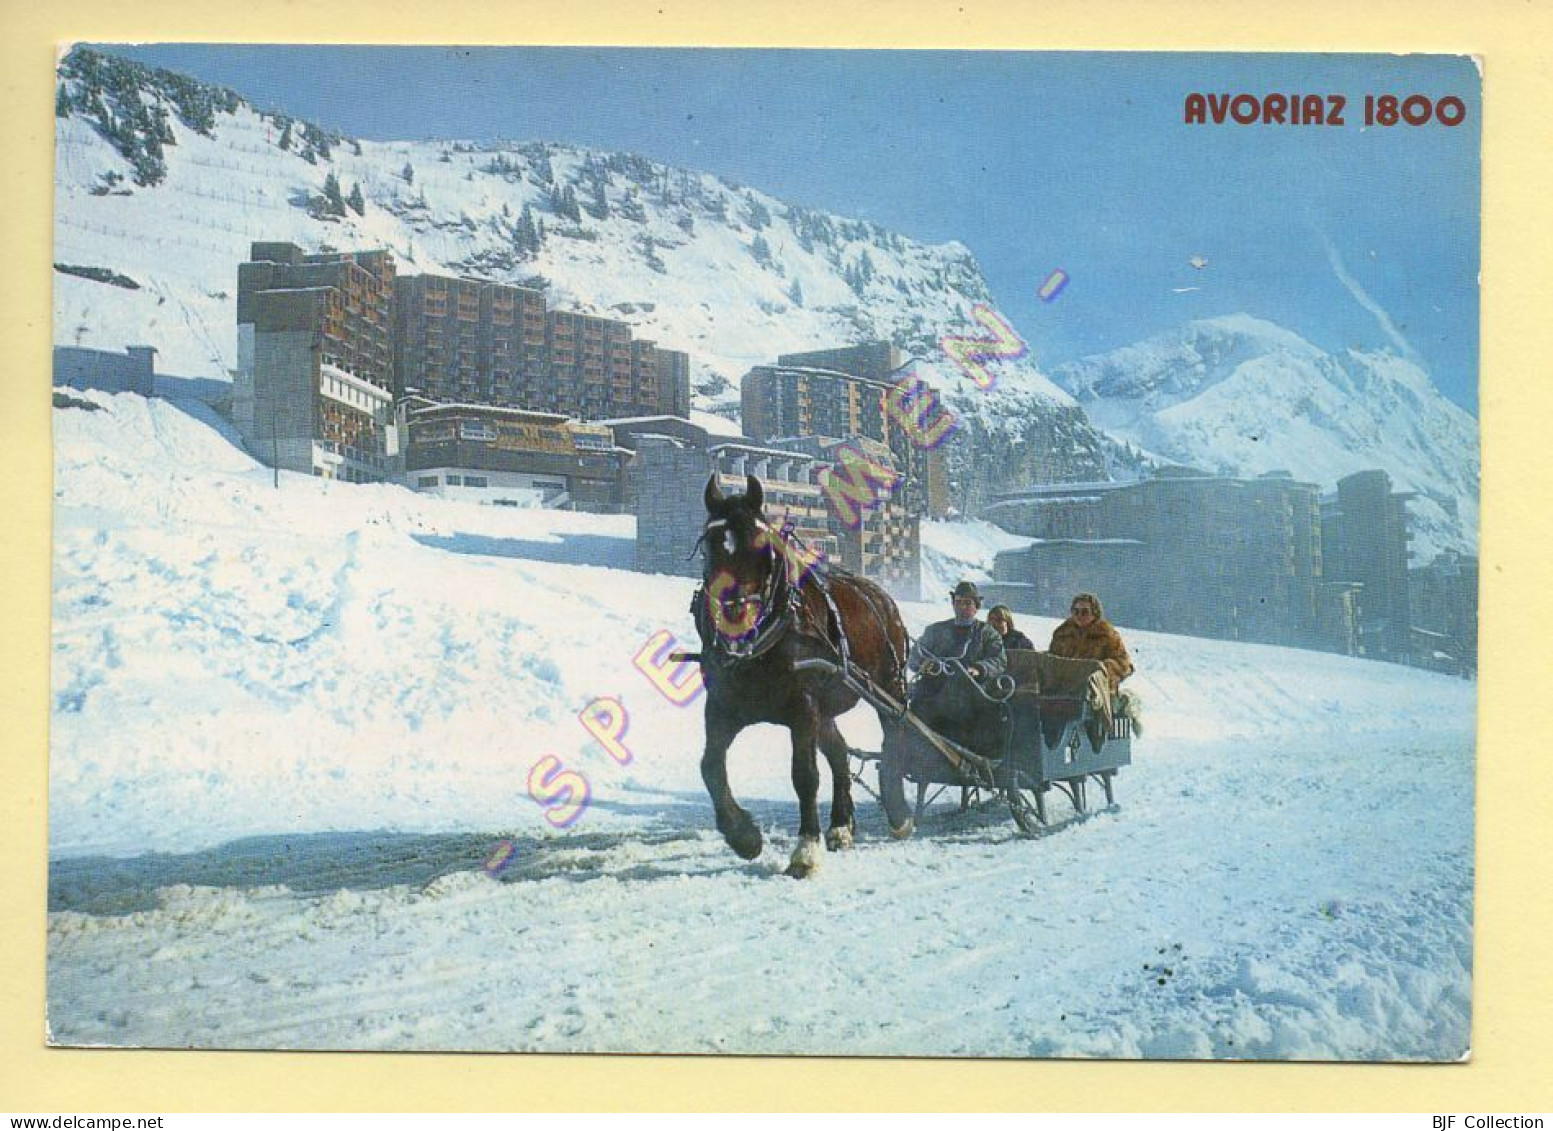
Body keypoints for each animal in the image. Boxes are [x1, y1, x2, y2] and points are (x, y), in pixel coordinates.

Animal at [695, 472, 906, 876]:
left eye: (761, 547)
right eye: (708, 545)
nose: (732, 615)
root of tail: (880, 596)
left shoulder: (802, 709)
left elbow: (805, 775)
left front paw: (806, 850)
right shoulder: (723, 707)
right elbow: (711, 767)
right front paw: (744, 836)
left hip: (889, 688)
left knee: (897, 743)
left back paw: (900, 814)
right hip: (826, 710)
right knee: (839, 753)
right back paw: (841, 826)